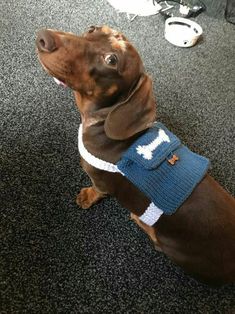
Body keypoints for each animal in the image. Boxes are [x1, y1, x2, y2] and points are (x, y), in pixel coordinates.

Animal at [35, 25, 235, 286]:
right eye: (92, 29)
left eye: (111, 60)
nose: (43, 37)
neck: (101, 121)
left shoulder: (99, 179)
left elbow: (97, 190)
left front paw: (87, 197)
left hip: (172, 247)